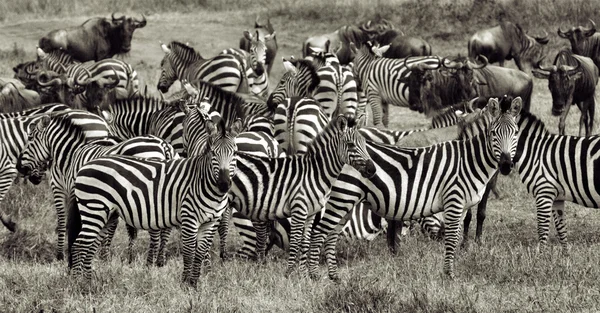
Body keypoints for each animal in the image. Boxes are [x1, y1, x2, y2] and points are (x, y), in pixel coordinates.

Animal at [15, 111, 177, 260]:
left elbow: (66, 222)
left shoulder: (66, 191)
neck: (70, 155)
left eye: (30, 138)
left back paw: (150, 262)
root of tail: (163, 144)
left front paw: (62, 255)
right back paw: (159, 260)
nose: (18, 167)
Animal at [72, 117, 244, 286]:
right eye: (213, 153)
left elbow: (200, 253)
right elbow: (189, 252)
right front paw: (185, 284)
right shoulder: (189, 218)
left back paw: (89, 282)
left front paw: (194, 284)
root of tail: (85, 166)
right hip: (94, 209)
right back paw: (78, 283)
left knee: (90, 247)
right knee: (79, 245)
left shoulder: (210, 222)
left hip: (107, 215)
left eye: (235, 153)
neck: (204, 183)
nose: (224, 184)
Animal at [308, 95, 524, 280]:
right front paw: (449, 274)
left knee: (332, 234)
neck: (469, 159)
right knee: (320, 232)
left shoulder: (463, 204)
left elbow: (461, 230)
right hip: (343, 197)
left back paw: (335, 276)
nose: (506, 165)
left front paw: (457, 259)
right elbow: (454, 236)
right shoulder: (454, 199)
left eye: (515, 133)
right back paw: (313, 275)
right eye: (493, 133)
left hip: (345, 199)